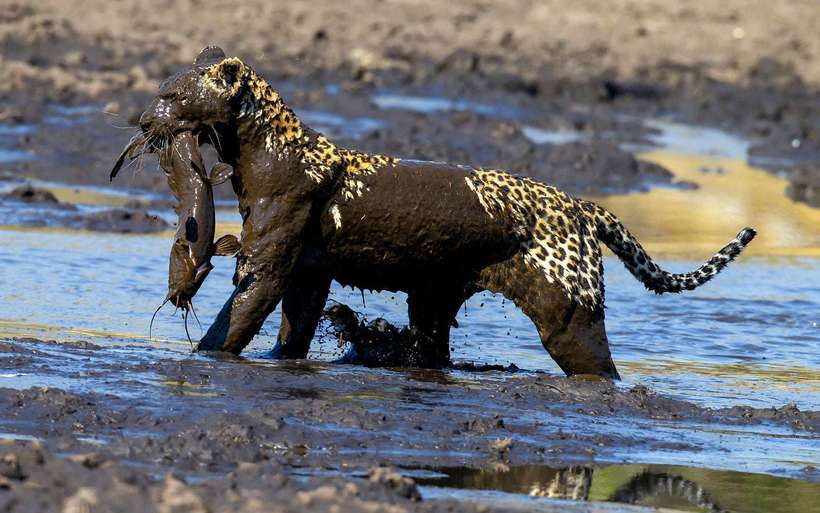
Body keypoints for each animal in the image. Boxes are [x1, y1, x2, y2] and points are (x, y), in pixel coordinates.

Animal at [121, 47, 756, 376]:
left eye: (173, 95)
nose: (145, 120)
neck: (260, 148)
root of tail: (581, 204)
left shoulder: (268, 264)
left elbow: (233, 321)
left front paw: (203, 357)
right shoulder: (307, 273)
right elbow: (291, 332)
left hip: (570, 316)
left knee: (601, 368)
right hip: (432, 300)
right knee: (433, 348)